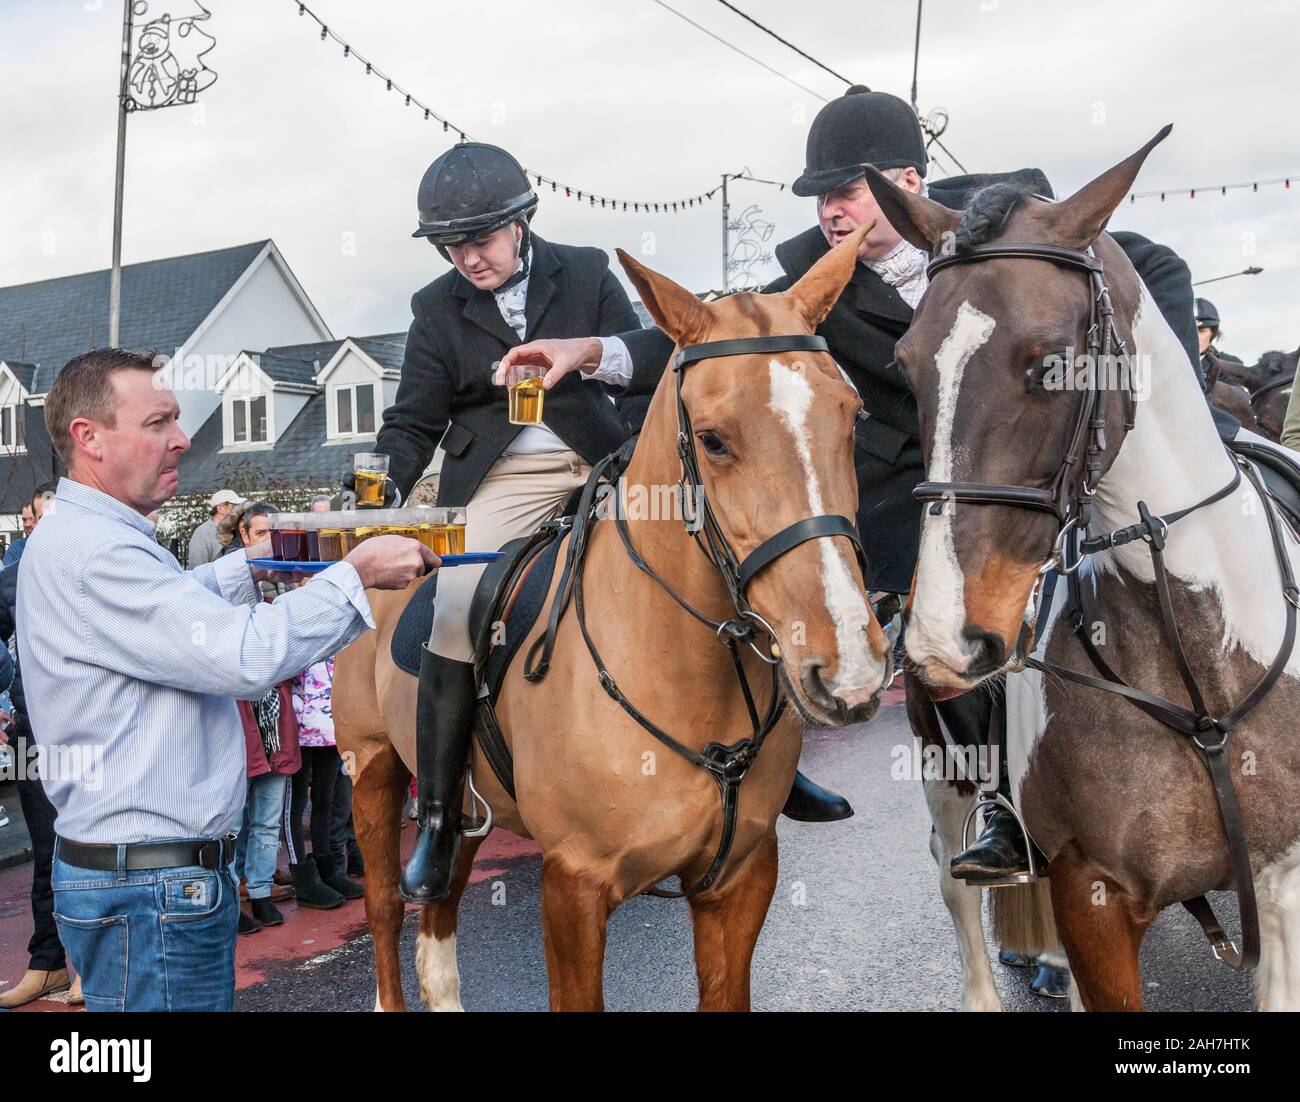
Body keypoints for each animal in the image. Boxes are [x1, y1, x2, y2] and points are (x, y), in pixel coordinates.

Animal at [332, 217, 894, 1013]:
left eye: (852, 417)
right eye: (713, 440)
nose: (849, 665)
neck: (685, 673)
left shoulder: (741, 878)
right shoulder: (574, 887)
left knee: (440, 909)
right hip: (372, 767)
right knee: (384, 905)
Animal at [863, 126, 1300, 1008]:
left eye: (1051, 366)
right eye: (907, 366)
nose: (942, 638)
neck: (1196, 658)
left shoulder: (1286, 885)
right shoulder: (1089, 895)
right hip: (942, 771)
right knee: (954, 887)